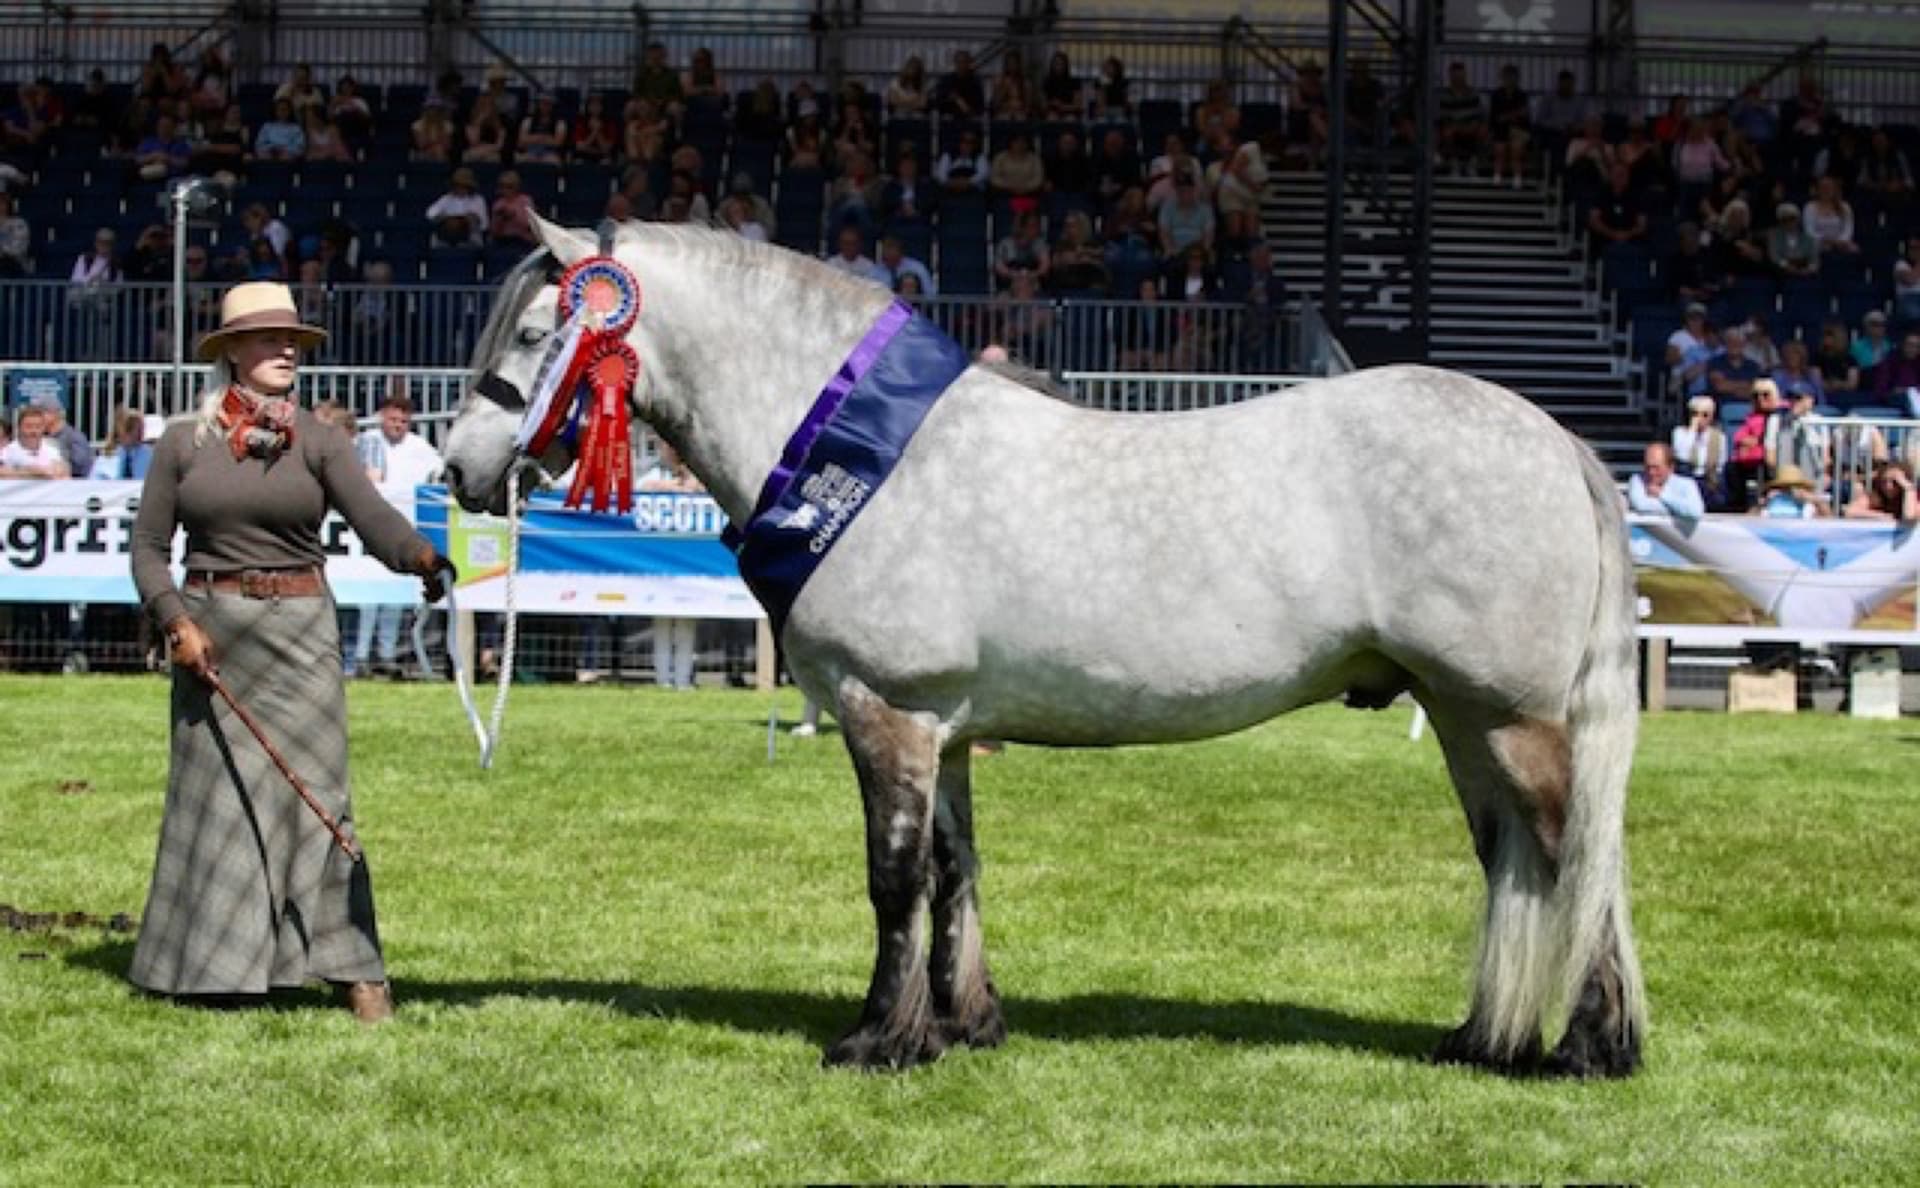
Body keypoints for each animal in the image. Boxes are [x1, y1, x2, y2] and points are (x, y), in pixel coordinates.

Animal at [440, 217, 1646, 1078]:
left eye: (538, 334)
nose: (459, 466)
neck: (859, 449)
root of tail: (1556, 439)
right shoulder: (944, 731)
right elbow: (954, 869)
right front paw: (960, 1025)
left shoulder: (888, 712)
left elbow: (892, 879)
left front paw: (876, 1041)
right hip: (1461, 719)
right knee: (1515, 863)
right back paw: (1484, 1040)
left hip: (1510, 719)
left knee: (1575, 857)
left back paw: (1590, 1050)